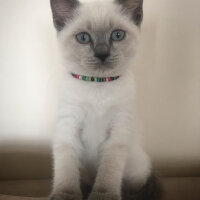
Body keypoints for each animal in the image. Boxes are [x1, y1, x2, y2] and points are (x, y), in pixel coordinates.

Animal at [49, 0, 159, 200]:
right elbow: (66, 169)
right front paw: (66, 195)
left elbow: (108, 172)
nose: (102, 53)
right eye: (83, 38)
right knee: (85, 182)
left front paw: (104, 195)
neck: (98, 83)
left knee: (137, 187)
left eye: (117, 35)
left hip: (136, 169)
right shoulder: (68, 125)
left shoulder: (118, 130)